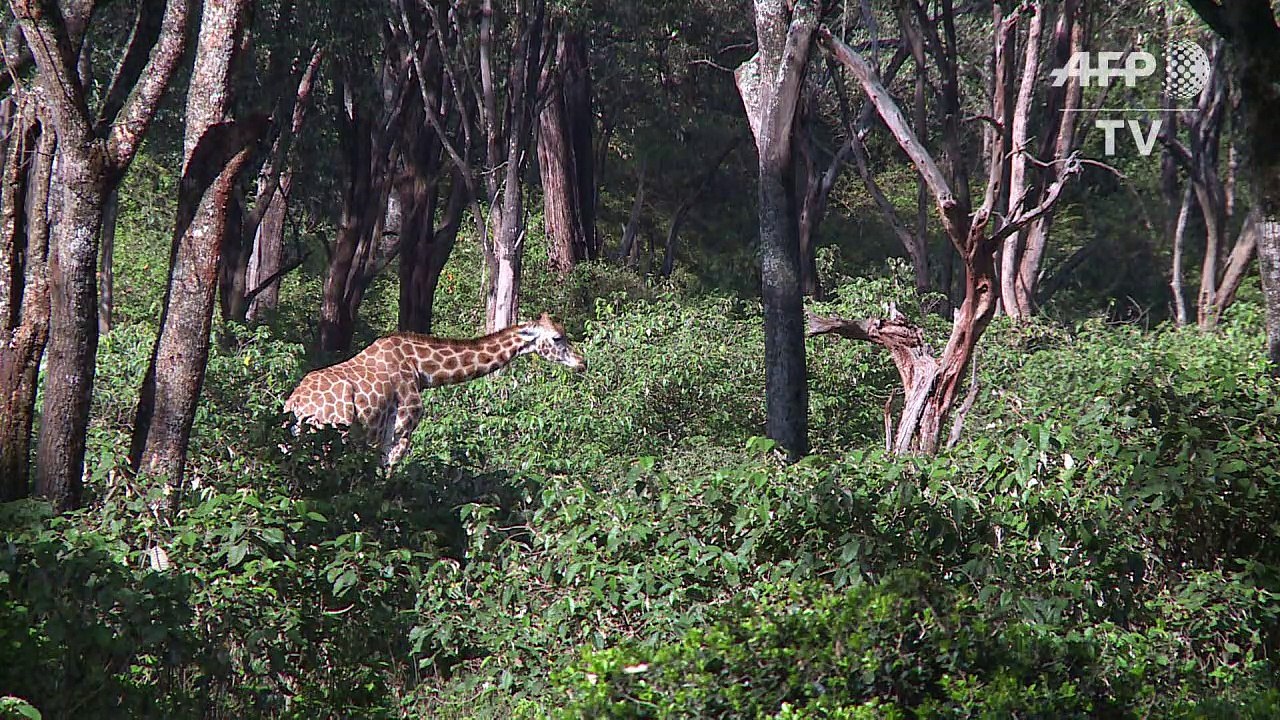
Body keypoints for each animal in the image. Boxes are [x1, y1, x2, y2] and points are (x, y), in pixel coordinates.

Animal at [284, 313, 586, 467]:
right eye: (558, 338)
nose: (582, 362)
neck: (421, 369)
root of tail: (296, 405)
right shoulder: (400, 432)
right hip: (330, 436)